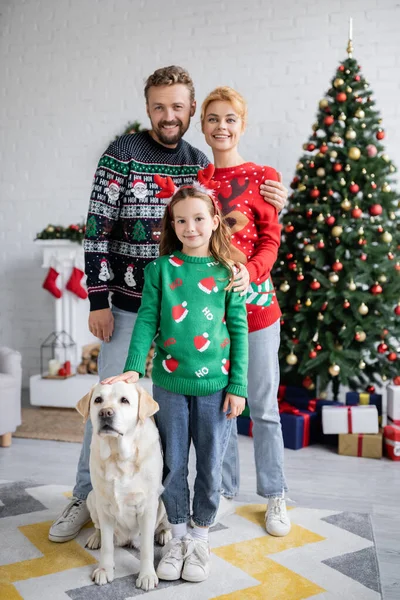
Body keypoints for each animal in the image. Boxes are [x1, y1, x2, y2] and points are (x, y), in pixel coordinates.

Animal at [76, 382, 172, 592]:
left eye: (125, 400)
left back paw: (164, 533)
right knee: (99, 529)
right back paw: (96, 538)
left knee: (163, 524)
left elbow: (147, 549)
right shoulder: (104, 507)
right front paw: (105, 570)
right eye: (98, 400)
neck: (117, 456)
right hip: (92, 498)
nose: (105, 413)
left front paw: (146, 575)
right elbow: (107, 547)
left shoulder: (147, 507)